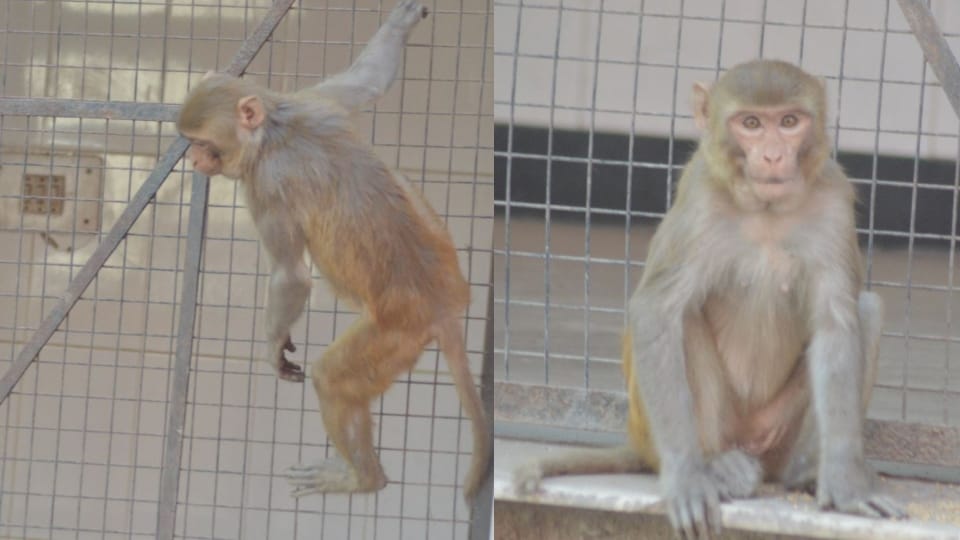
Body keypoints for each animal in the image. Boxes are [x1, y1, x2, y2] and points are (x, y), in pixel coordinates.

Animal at [176, 0, 491, 502]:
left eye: (205, 146)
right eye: (191, 145)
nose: (193, 160)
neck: (274, 130)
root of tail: (444, 304)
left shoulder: (264, 185)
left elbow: (291, 275)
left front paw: (271, 348)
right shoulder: (310, 99)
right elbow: (367, 81)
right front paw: (401, 22)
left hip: (396, 335)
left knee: (332, 377)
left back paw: (364, 478)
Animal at [512, 59, 907, 538]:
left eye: (789, 122)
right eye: (751, 124)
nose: (773, 156)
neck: (765, 211)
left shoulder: (833, 201)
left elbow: (836, 323)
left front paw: (845, 485)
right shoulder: (700, 202)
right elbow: (657, 312)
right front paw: (686, 478)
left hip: (775, 433)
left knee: (865, 309)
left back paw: (807, 473)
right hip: (695, 429)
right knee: (682, 320)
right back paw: (714, 467)